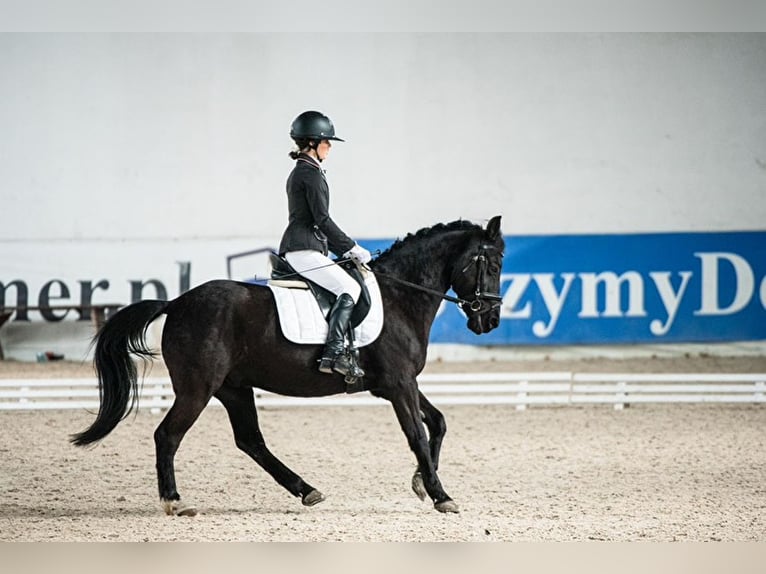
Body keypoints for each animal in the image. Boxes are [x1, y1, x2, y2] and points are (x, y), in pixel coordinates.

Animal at [70, 215, 504, 516]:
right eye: (493, 264)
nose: (490, 320)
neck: (402, 295)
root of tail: (176, 303)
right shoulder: (399, 384)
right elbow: (416, 434)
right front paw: (441, 496)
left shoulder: (397, 383)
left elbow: (438, 423)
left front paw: (420, 481)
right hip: (197, 389)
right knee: (168, 435)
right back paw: (175, 502)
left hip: (234, 387)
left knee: (250, 441)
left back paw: (306, 490)